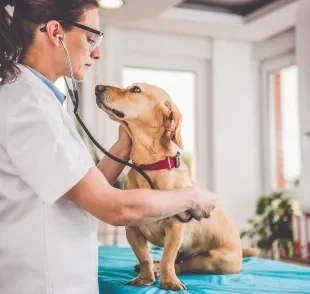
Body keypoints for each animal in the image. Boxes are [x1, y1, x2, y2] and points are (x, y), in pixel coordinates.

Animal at [94, 83, 260, 292]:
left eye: (135, 89)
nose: (97, 87)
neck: (149, 167)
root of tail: (240, 249)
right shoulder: (132, 230)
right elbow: (144, 257)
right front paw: (145, 278)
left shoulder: (175, 229)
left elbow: (168, 259)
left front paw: (168, 280)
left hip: (213, 260)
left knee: (182, 264)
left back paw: (163, 270)